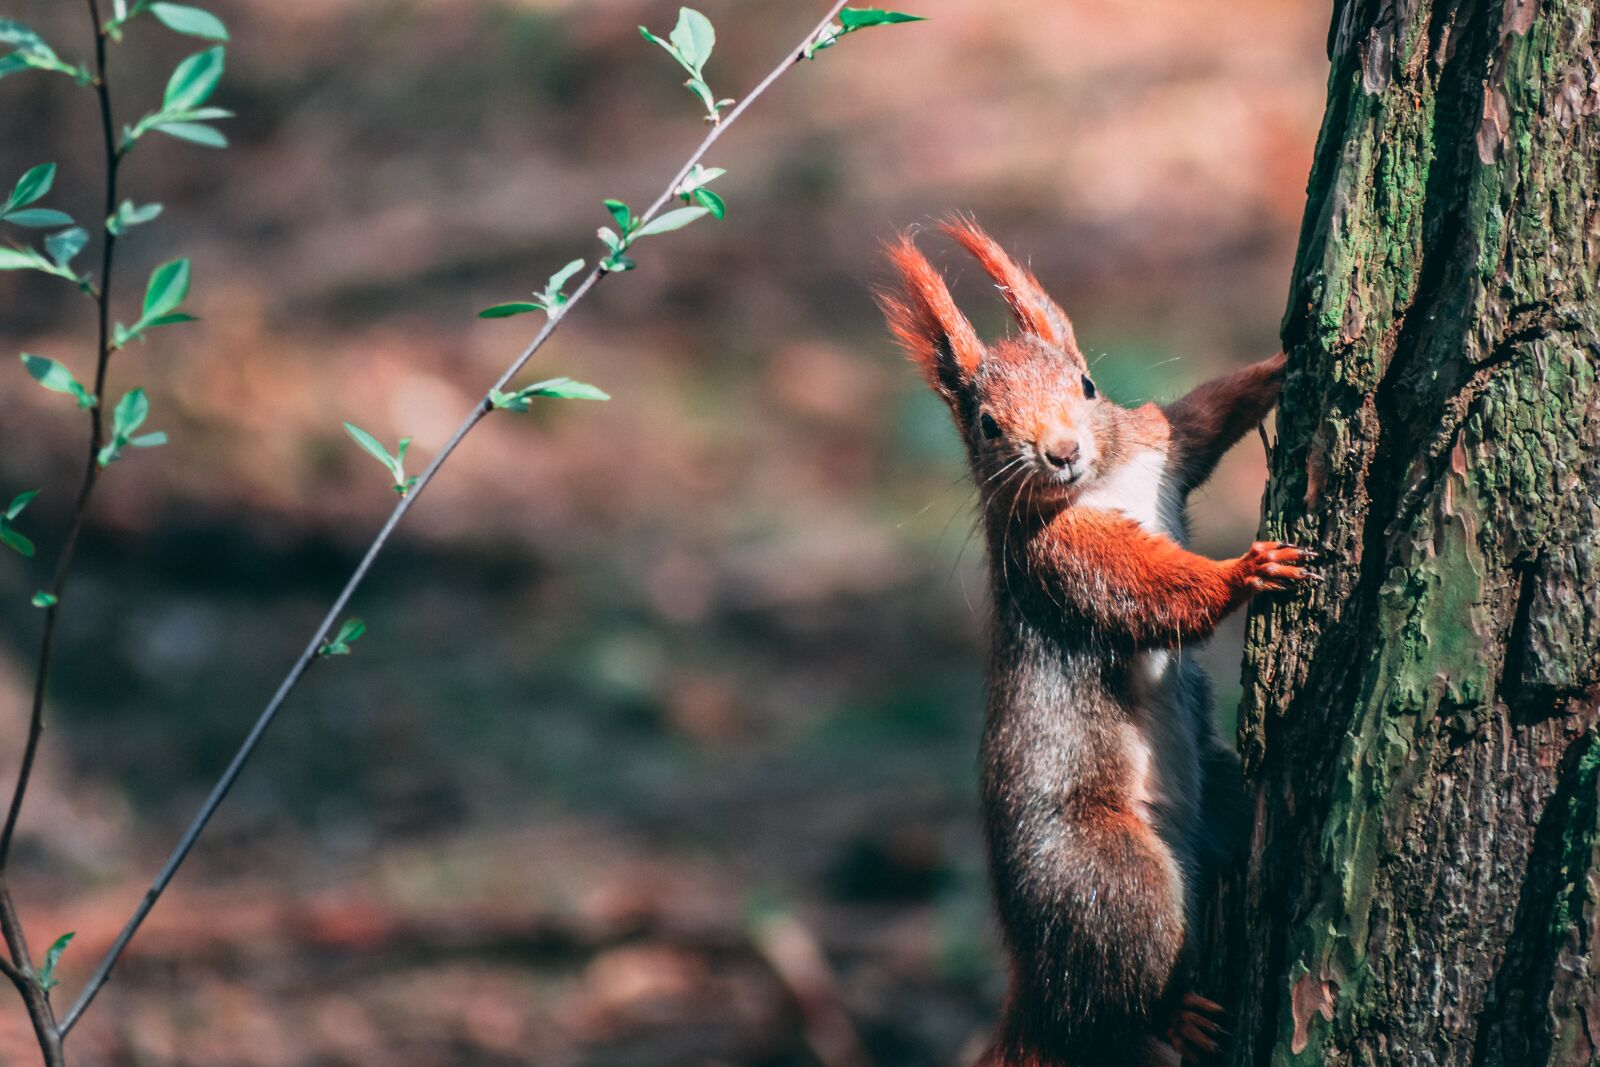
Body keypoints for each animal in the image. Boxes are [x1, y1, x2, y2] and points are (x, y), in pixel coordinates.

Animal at [876, 219, 1316, 1066]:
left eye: (1085, 384)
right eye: (987, 425)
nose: (1062, 451)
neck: (1099, 482)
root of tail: (1035, 985)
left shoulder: (1156, 439)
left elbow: (1204, 414)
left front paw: (1283, 366)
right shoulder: (1057, 558)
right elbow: (1151, 589)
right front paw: (1244, 570)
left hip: (1216, 786)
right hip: (1108, 873)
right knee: (1118, 990)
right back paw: (1176, 1015)